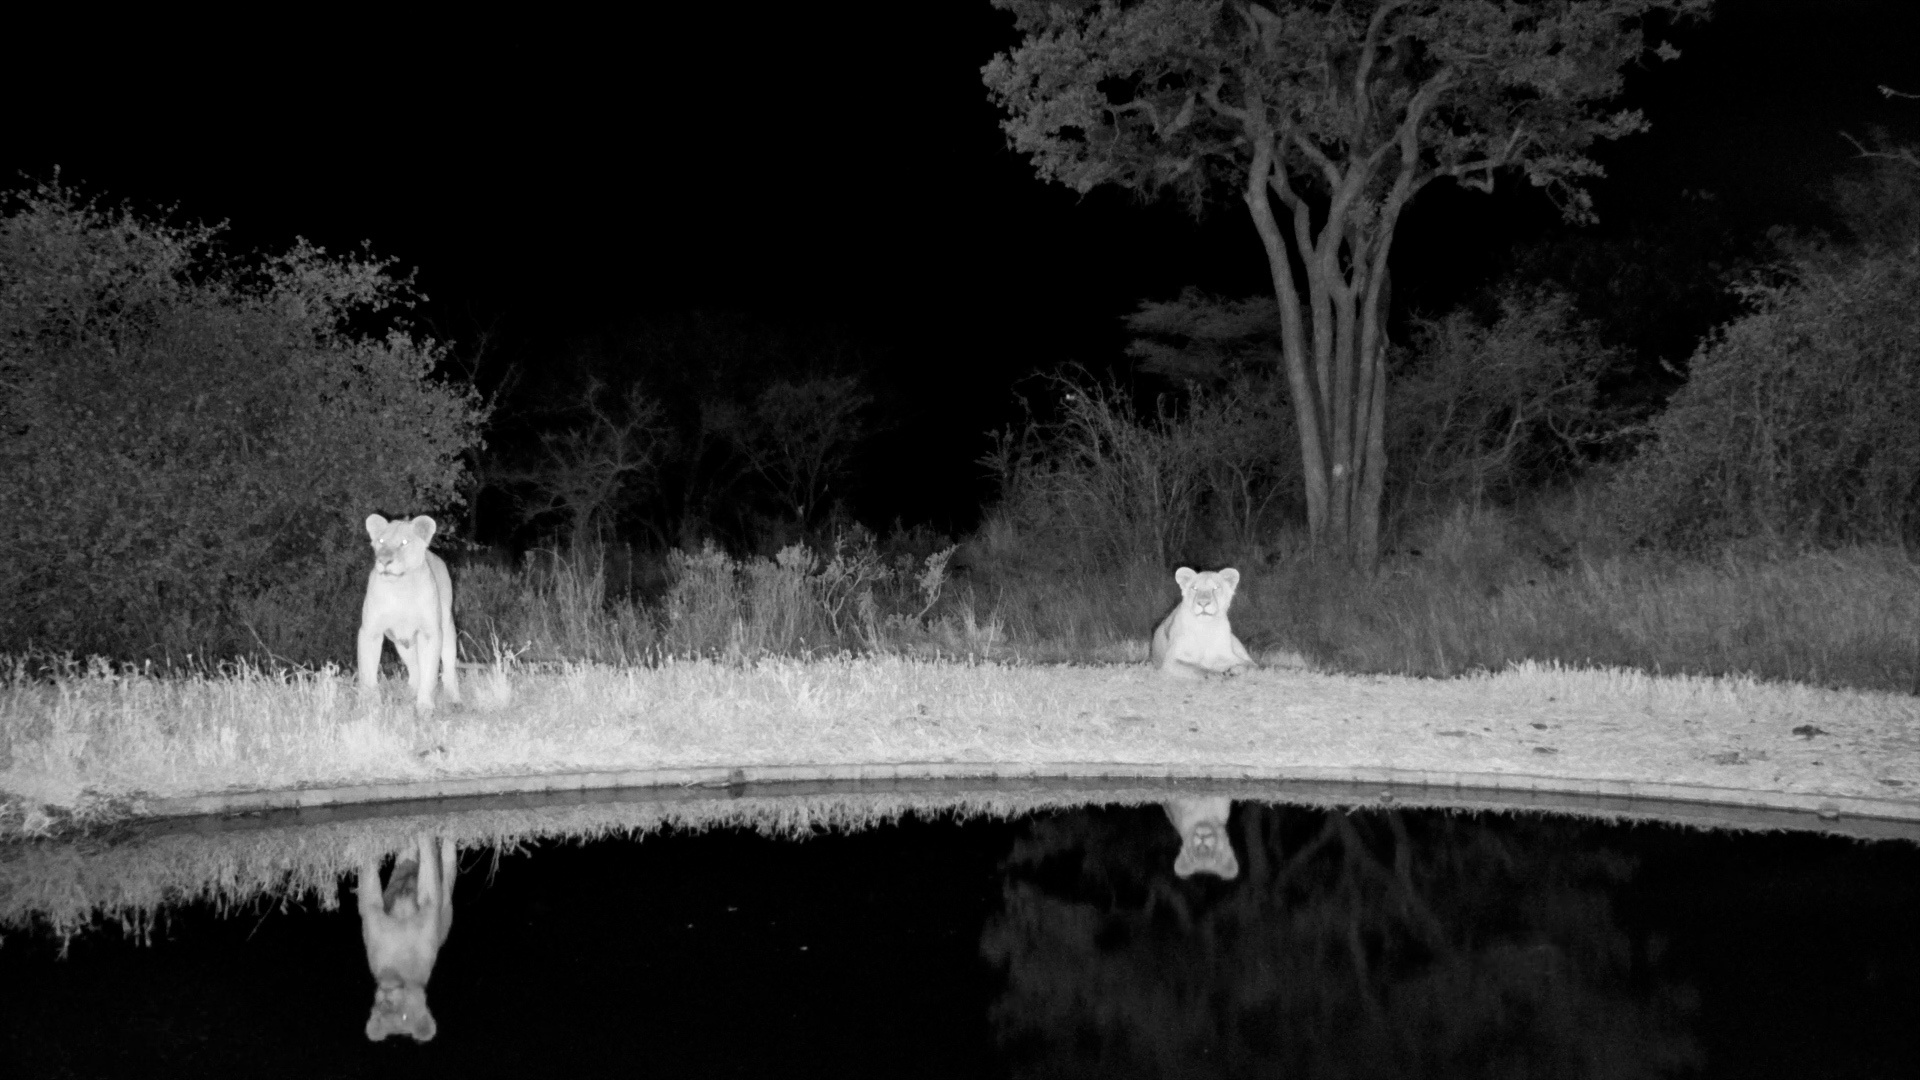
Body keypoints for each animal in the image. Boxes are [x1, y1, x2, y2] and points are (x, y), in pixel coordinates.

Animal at [357, 514, 461, 713]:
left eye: (404, 542)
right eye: (381, 541)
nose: (384, 561)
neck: (400, 587)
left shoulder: (429, 633)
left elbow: (430, 672)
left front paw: (425, 706)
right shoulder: (370, 632)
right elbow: (367, 672)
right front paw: (371, 705)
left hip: (447, 629)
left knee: (448, 668)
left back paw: (454, 699)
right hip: (402, 643)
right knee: (415, 670)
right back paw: (407, 696)